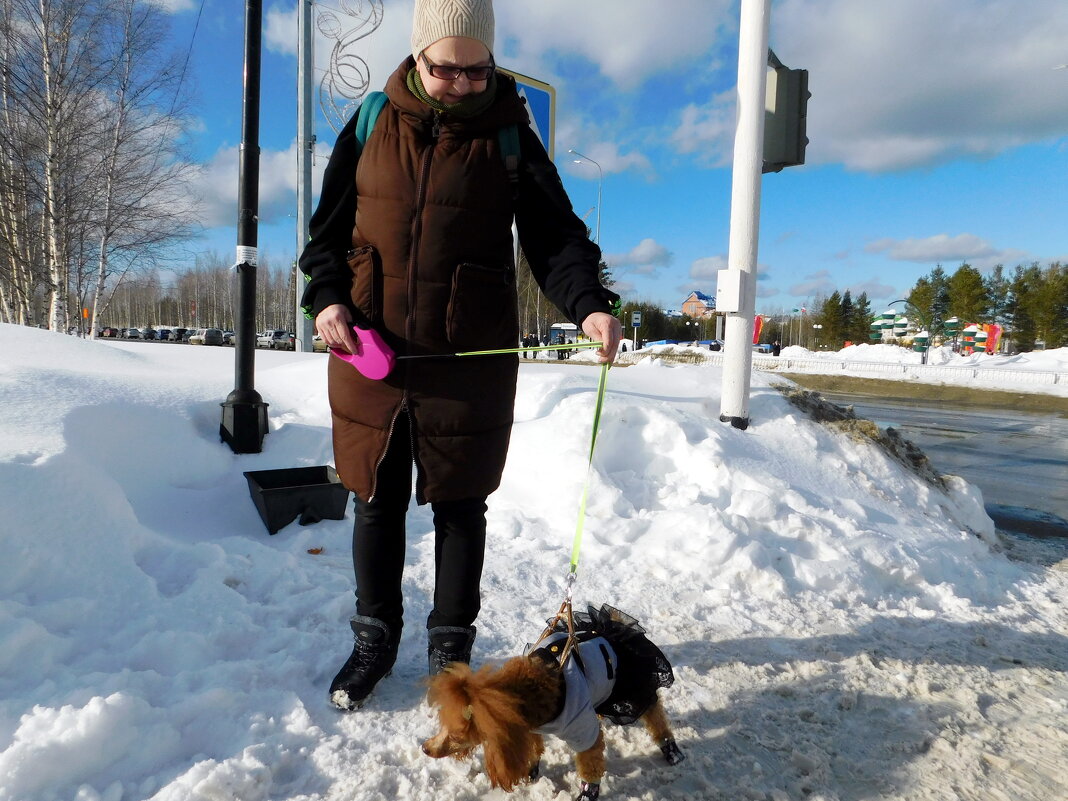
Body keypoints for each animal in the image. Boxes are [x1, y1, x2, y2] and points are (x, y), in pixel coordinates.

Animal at [422, 606, 683, 798]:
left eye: (457, 735)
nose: (425, 748)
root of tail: (607, 627)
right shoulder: (531, 727)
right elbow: (534, 747)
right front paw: (531, 771)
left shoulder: (582, 729)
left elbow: (590, 763)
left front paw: (587, 793)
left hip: (630, 689)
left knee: (654, 713)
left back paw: (671, 749)